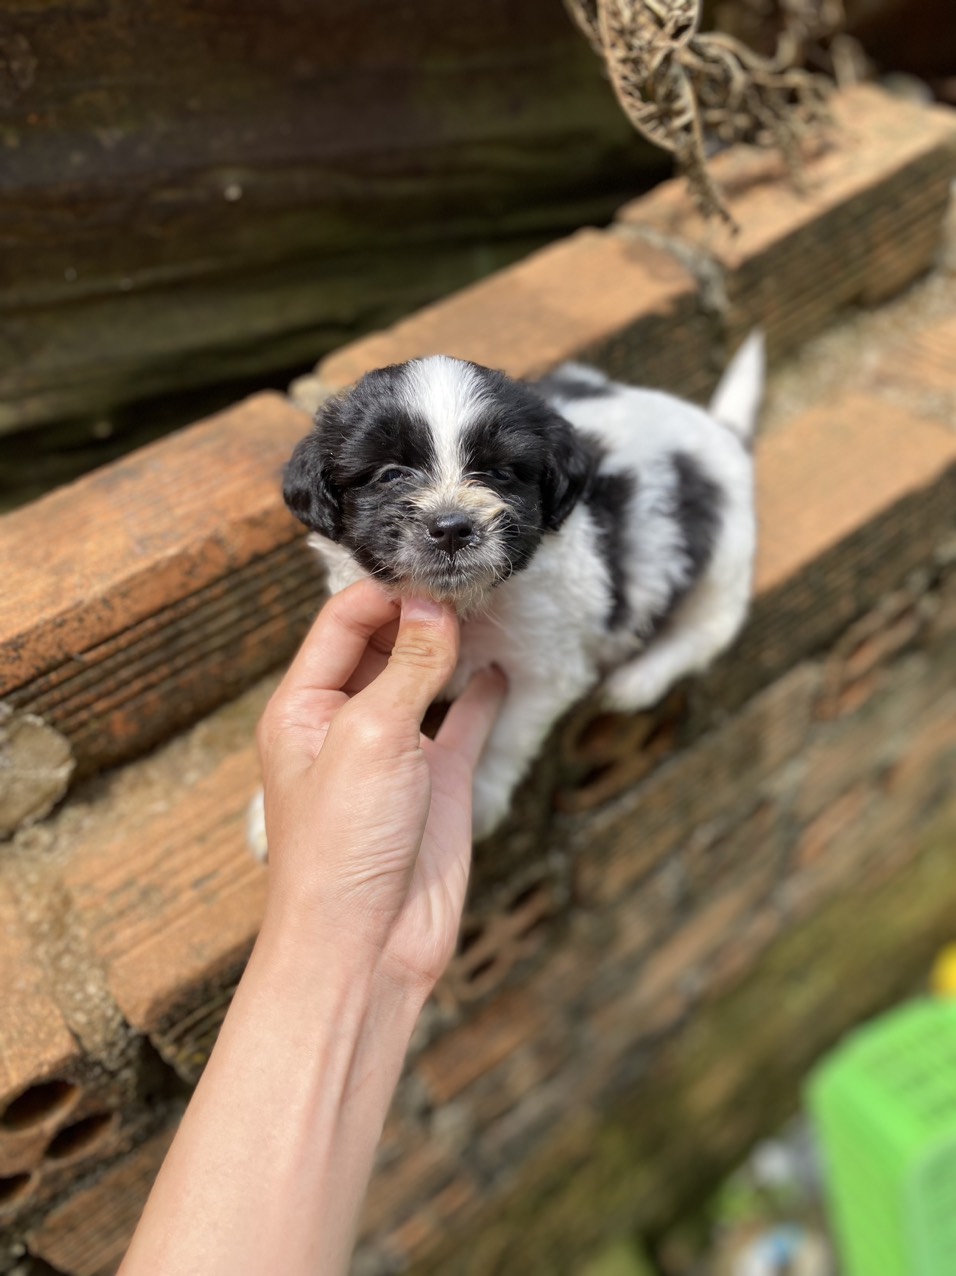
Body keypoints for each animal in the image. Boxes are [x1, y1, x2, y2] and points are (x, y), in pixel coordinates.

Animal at [248, 336, 762, 853]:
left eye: (499, 472)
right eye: (391, 473)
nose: (451, 528)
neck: (468, 606)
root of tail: (721, 430)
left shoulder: (544, 670)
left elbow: (505, 734)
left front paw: (475, 797)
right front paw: (287, 812)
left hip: (724, 559)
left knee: (708, 629)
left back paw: (638, 681)